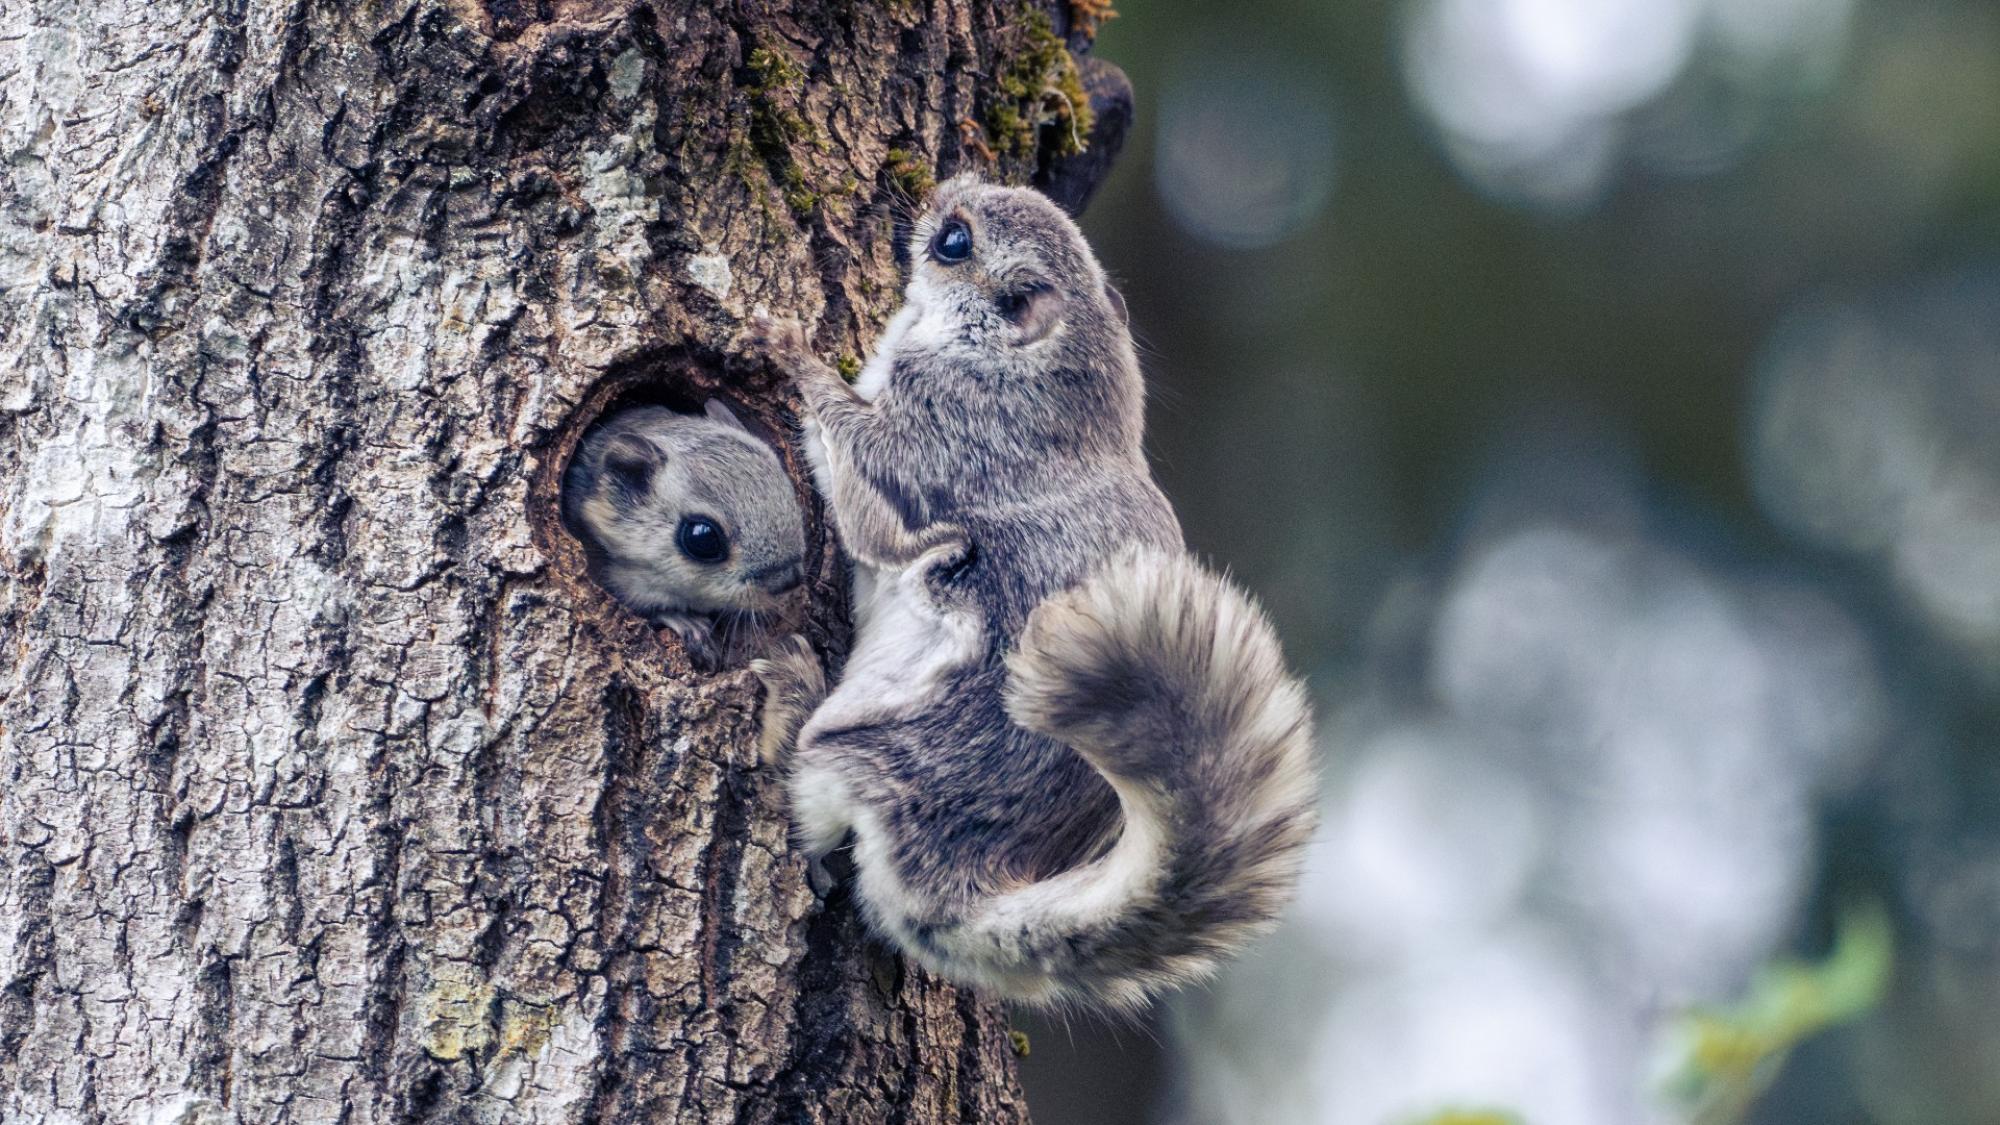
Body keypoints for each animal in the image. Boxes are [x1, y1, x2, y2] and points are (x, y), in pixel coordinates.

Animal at [748, 175, 1318, 1012]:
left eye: (956, 241)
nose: (937, 189)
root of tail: (954, 885)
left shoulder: (935, 442)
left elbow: (871, 503)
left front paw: (792, 355)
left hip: (863, 752)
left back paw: (790, 692)